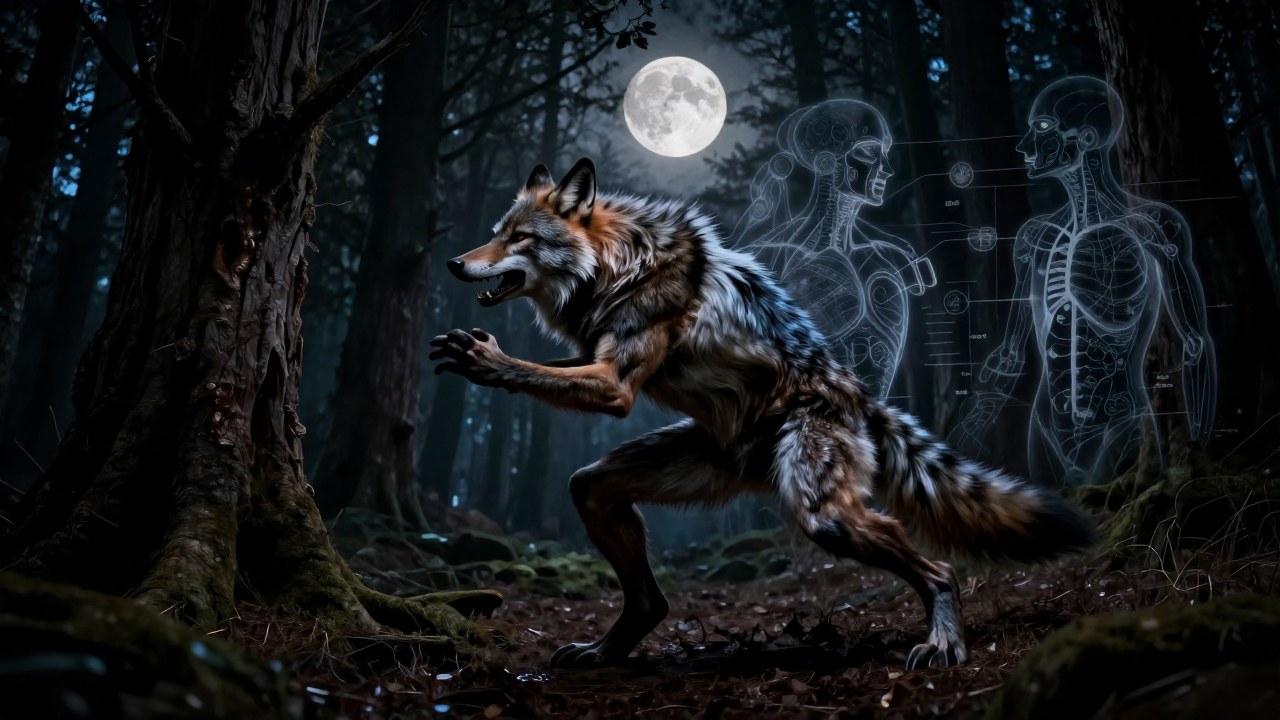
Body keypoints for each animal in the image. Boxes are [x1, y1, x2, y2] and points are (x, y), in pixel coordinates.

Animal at [430, 158, 1096, 670]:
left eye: (521, 238)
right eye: (497, 232)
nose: (455, 263)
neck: (619, 265)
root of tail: (859, 395)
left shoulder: (615, 385)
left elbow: (534, 370)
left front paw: (485, 360)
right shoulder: (593, 365)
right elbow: (548, 369)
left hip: (825, 515)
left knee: (939, 569)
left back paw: (942, 642)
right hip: (616, 484)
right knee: (648, 595)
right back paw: (604, 652)